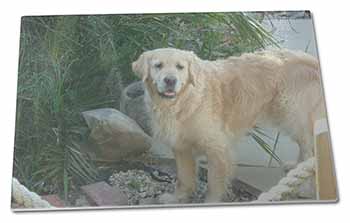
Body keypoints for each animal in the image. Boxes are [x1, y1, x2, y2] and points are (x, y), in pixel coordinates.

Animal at [132, 48, 326, 203]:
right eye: (158, 65)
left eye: (180, 67)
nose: (170, 80)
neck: (183, 102)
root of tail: (308, 58)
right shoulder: (181, 147)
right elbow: (184, 178)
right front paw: (176, 198)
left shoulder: (217, 148)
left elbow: (214, 183)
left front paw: (210, 202)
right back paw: (295, 169)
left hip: (293, 114)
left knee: (310, 150)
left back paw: (304, 187)